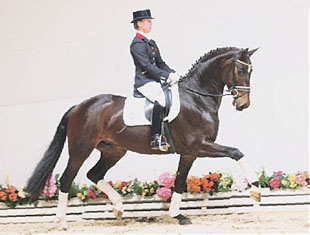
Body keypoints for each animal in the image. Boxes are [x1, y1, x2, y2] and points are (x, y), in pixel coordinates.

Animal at [26, 46, 260, 229]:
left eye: (251, 70)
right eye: (240, 69)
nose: (243, 104)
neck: (197, 98)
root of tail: (78, 107)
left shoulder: (189, 153)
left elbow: (179, 182)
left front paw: (178, 215)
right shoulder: (199, 146)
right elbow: (236, 152)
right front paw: (256, 191)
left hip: (114, 150)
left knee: (94, 174)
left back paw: (119, 209)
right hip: (80, 149)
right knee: (67, 179)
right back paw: (62, 222)